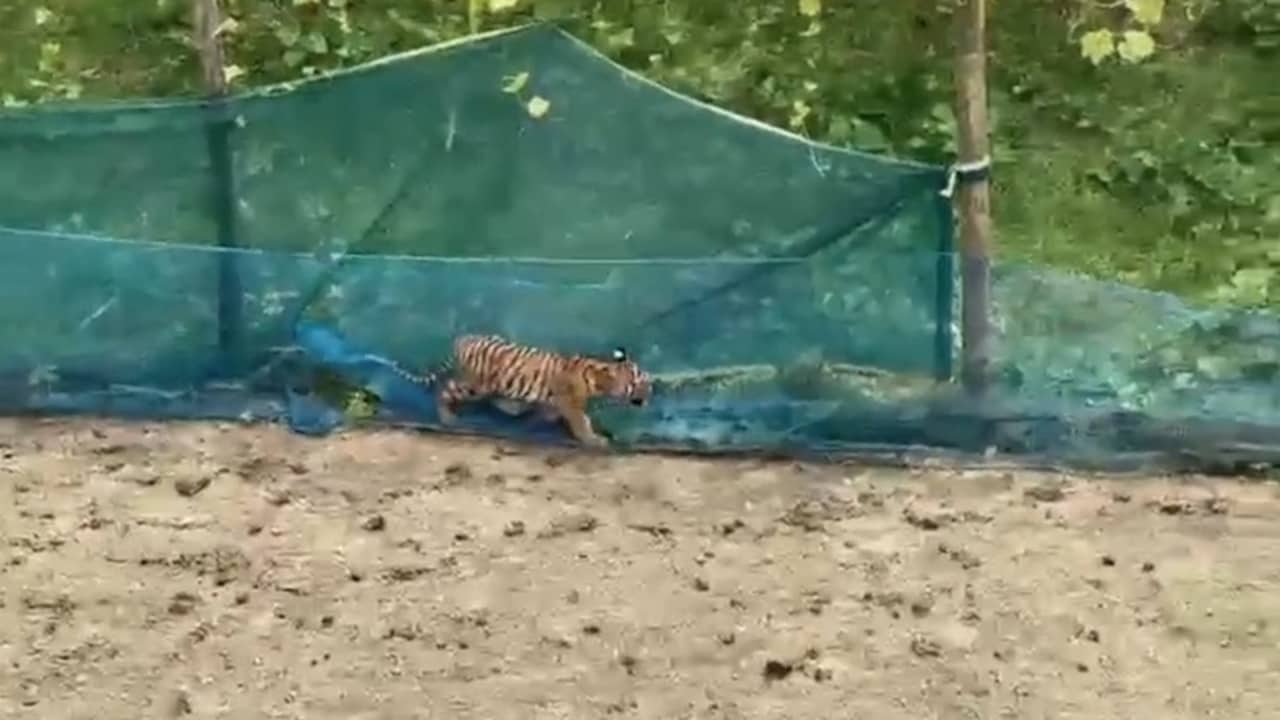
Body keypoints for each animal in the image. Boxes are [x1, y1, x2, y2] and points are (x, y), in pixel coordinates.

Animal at [392, 334, 652, 448]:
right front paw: (594, 439)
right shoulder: (571, 404)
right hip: (477, 385)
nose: (650, 394)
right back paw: (448, 418)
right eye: (638, 383)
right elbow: (582, 423)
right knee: (446, 390)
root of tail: (462, 340)